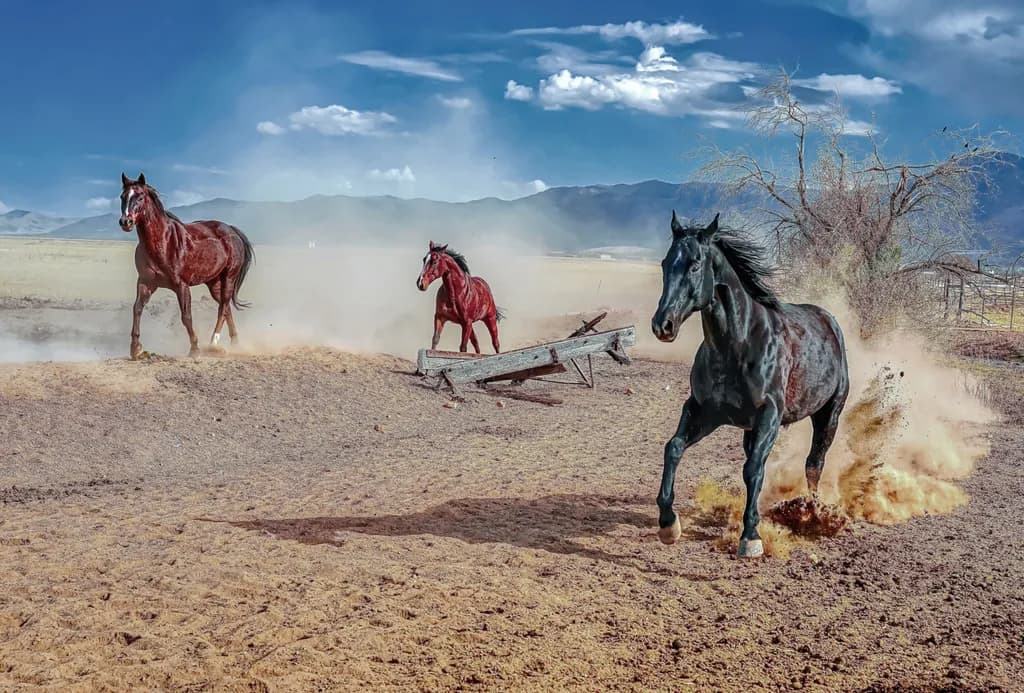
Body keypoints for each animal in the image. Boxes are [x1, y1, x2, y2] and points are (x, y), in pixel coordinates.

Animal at [118, 172, 255, 360]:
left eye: (140, 196)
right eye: (122, 196)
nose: (126, 221)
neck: (163, 242)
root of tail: (232, 230)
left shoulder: (181, 286)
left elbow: (186, 316)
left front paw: (195, 348)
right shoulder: (145, 282)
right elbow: (137, 309)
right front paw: (135, 349)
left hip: (229, 277)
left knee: (223, 308)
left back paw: (213, 343)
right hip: (214, 282)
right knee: (226, 307)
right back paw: (235, 343)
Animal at [651, 211, 849, 558]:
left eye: (695, 263)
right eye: (665, 263)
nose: (663, 324)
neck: (738, 345)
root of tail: (829, 321)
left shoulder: (769, 416)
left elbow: (754, 468)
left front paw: (751, 536)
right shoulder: (704, 411)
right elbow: (673, 447)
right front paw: (668, 524)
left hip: (829, 415)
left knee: (814, 463)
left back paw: (814, 513)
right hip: (748, 429)